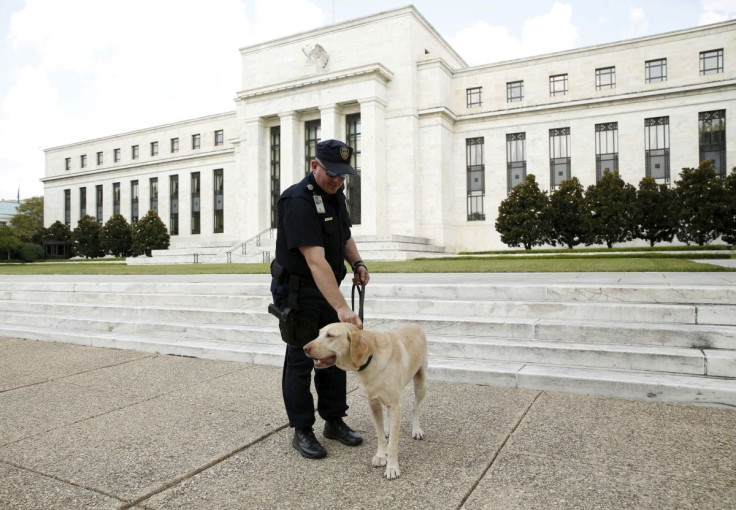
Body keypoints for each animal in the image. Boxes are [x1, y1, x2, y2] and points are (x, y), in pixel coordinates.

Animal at [304, 322, 428, 478]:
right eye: (319, 334)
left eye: (330, 335)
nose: (304, 348)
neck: (371, 357)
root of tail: (413, 323)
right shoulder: (373, 403)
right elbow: (380, 435)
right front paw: (381, 455)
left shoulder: (395, 405)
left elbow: (393, 443)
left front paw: (392, 467)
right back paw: (387, 428)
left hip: (421, 384)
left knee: (415, 407)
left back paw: (416, 429)